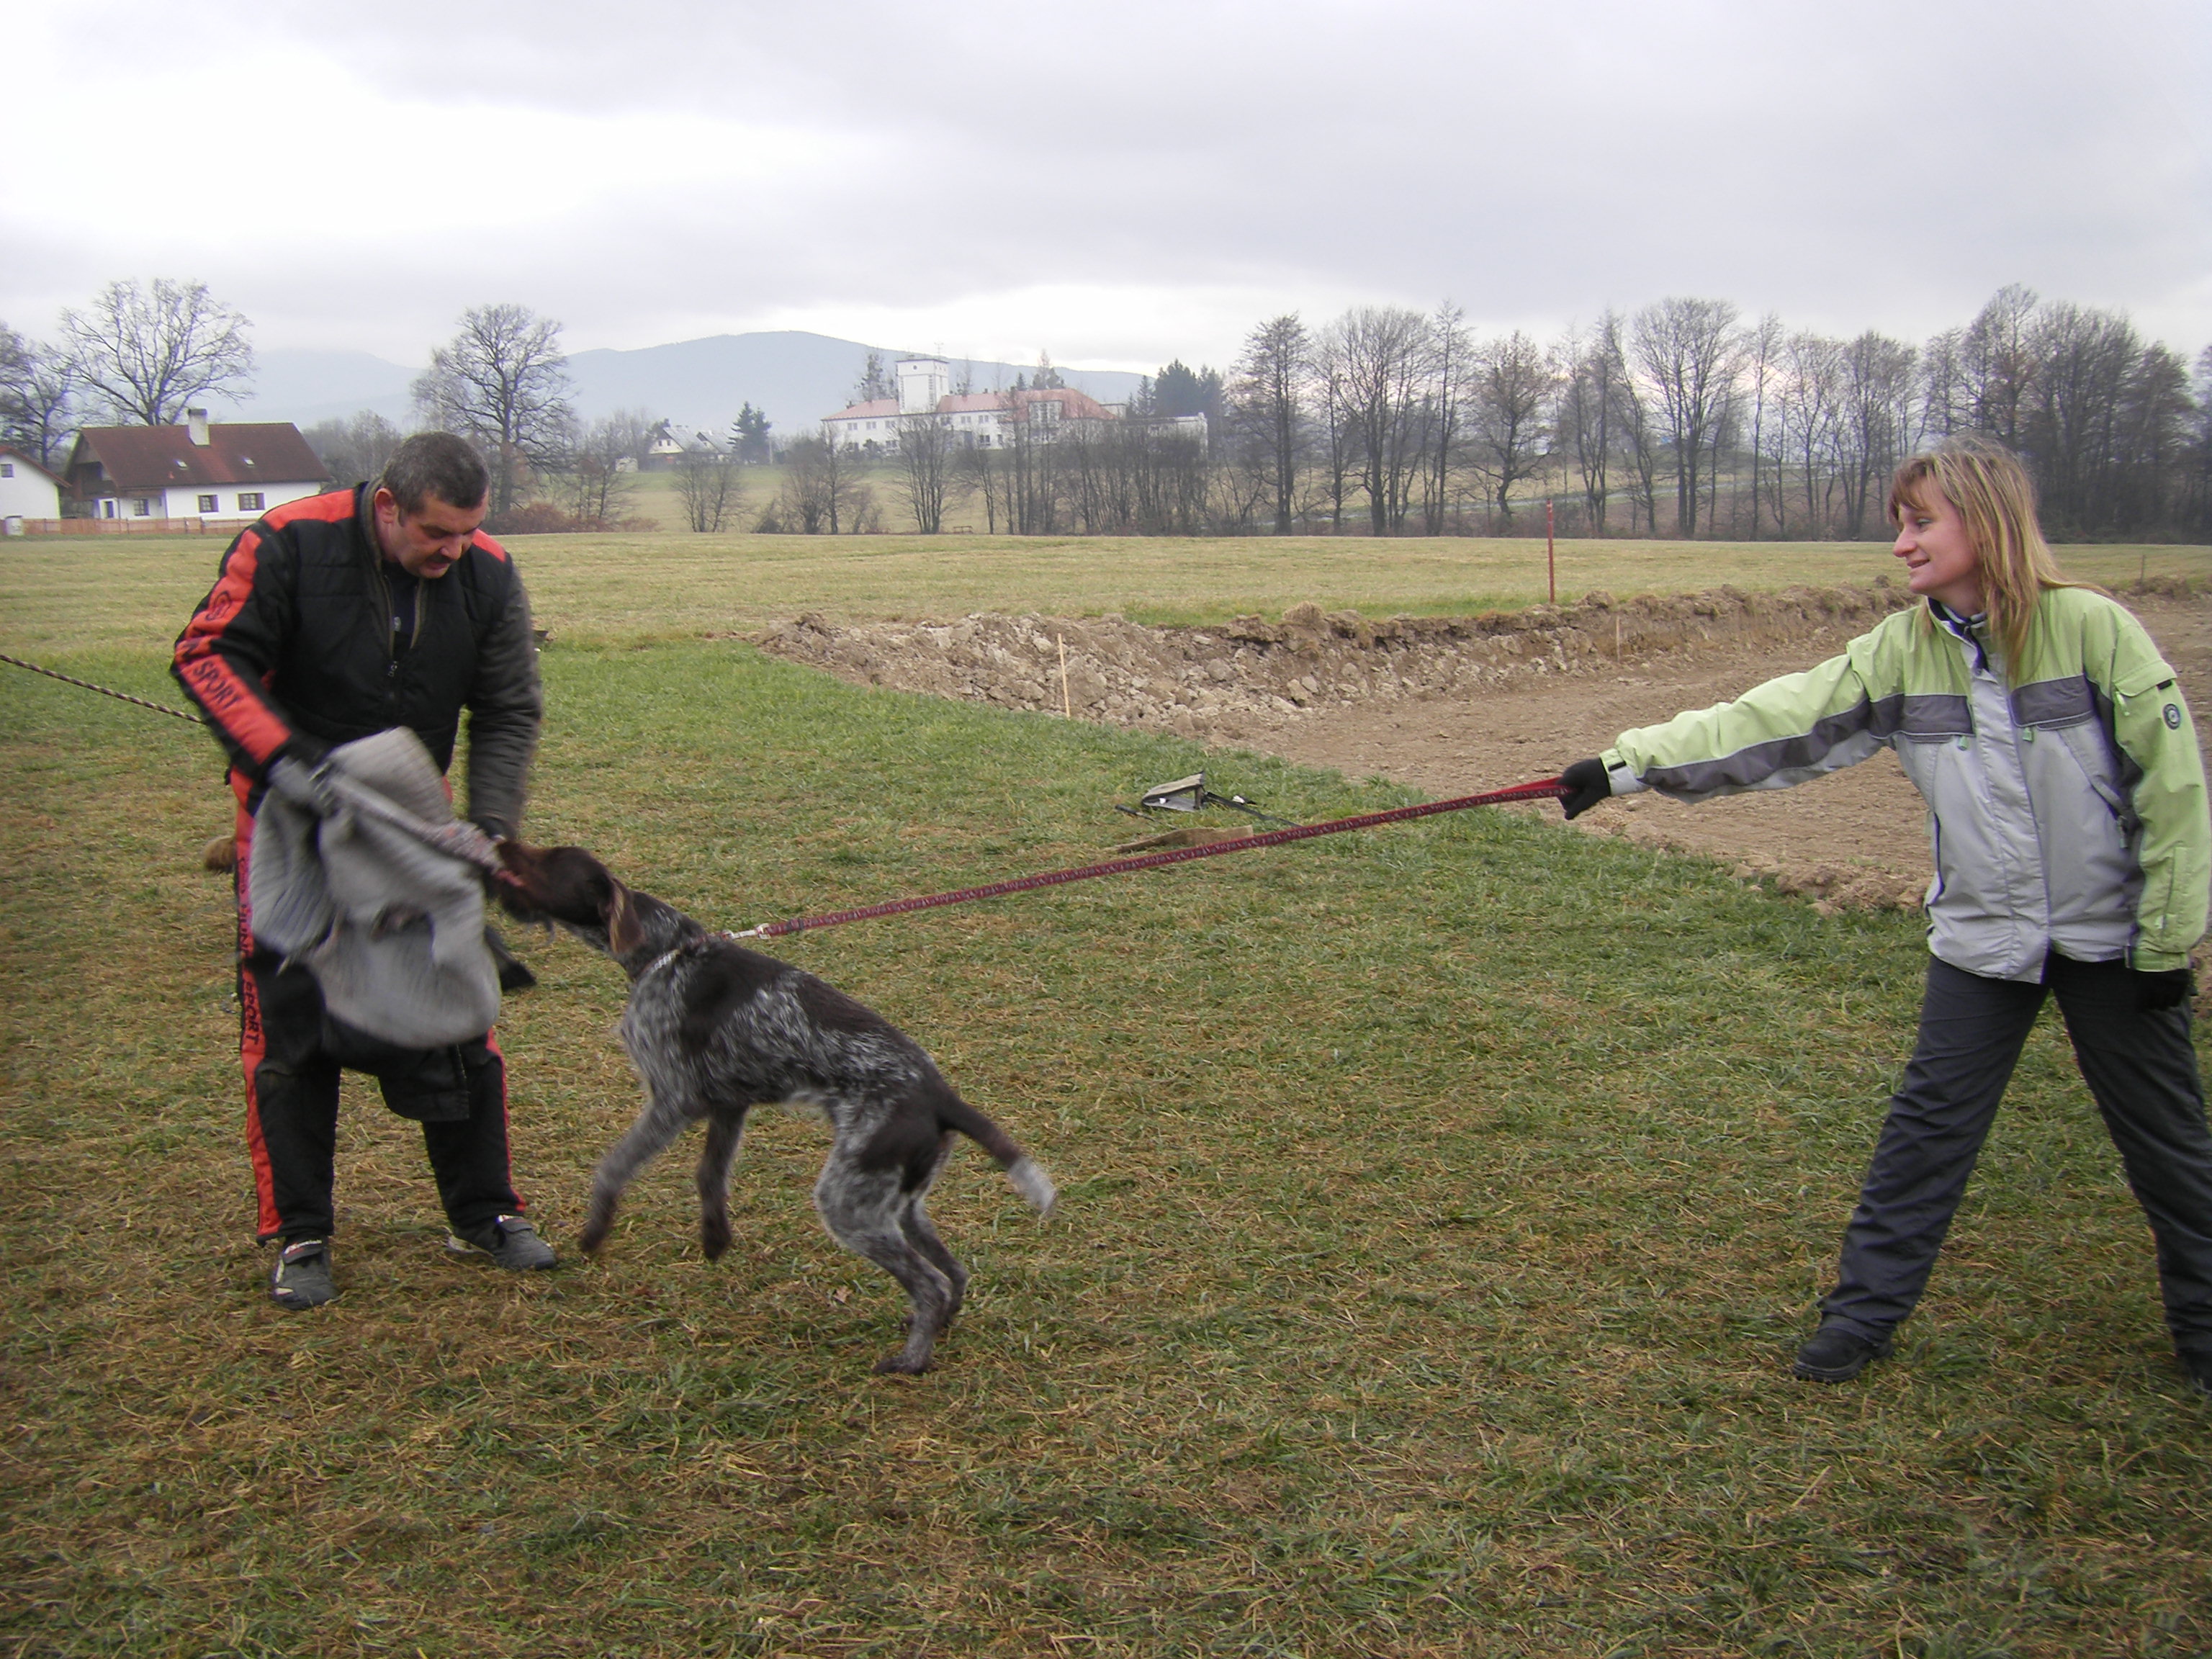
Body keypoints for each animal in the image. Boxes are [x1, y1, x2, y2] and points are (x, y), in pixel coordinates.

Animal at [495, 845, 1061, 1380]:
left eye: (545, 861)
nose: (497, 842)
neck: (669, 952)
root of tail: (942, 1096)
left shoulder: (674, 1099)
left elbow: (612, 1169)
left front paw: (595, 1231)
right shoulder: (728, 1103)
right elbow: (710, 1175)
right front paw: (715, 1238)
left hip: (849, 1205)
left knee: (931, 1284)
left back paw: (912, 1361)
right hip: (901, 1203)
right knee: (954, 1273)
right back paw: (935, 1330)